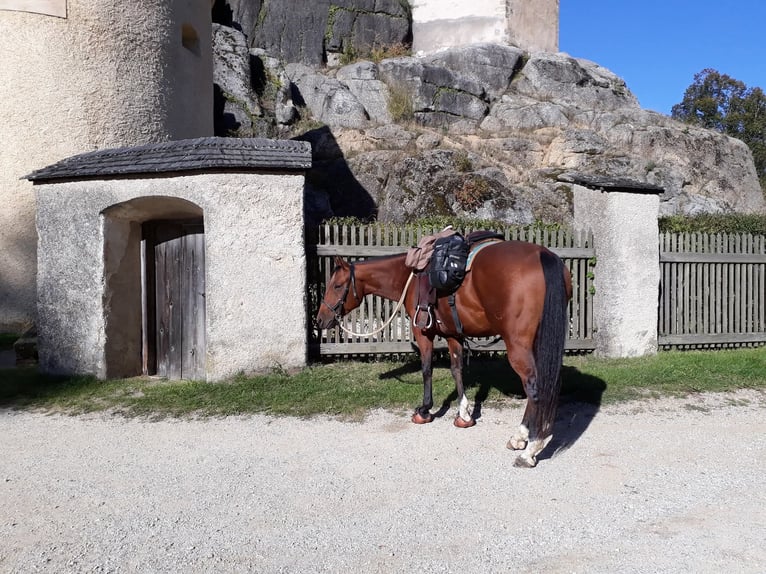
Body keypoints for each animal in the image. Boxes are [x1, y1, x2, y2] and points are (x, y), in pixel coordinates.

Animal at [315, 239, 572, 468]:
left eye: (336, 286)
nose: (320, 319)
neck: (410, 276)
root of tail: (543, 255)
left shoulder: (423, 333)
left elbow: (427, 369)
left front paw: (424, 411)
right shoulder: (453, 334)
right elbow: (457, 370)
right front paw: (464, 415)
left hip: (518, 345)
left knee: (534, 388)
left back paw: (530, 449)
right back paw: (520, 438)